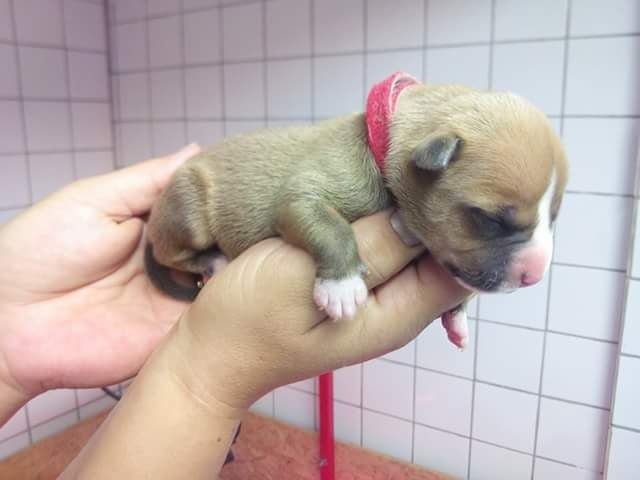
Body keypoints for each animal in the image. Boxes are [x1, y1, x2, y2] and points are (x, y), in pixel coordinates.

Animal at [144, 72, 568, 349]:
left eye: (553, 218)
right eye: (491, 219)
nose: (533, 276)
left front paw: (459, 316)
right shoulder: (301, 197)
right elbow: (329, 226)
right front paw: (342, 285)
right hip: (188, 210)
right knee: (171, 252)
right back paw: (211, 260)